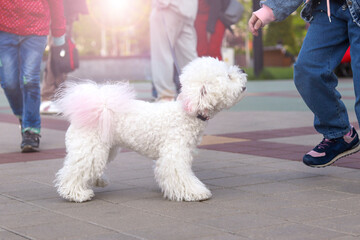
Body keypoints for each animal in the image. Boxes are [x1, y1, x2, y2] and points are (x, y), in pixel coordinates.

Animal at [54, 57, 246, 202]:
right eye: (229, 76)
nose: (244, 73)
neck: (187, 113)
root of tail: (98, 105)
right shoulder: (174, 154)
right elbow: (180, 175)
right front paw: (195, 193)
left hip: (106, 148)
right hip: (90, 148)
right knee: (74, 171)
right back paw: (76, 194)